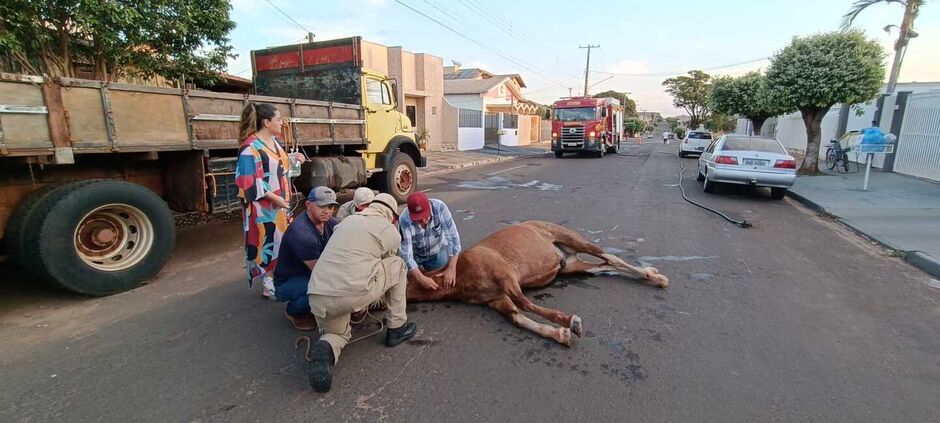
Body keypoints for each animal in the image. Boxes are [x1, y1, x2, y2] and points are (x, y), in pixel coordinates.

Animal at [406, 220, 668, 346]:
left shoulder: (505, 275)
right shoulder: (495, 299)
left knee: (609, 257)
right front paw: (561, 334)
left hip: (571, 238)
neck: (460, 274)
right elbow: (518, 317)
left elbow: (525, 304)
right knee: (603, 266)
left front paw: (571, 323)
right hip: (572, 266)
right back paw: (650, 272)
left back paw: (658, 278)